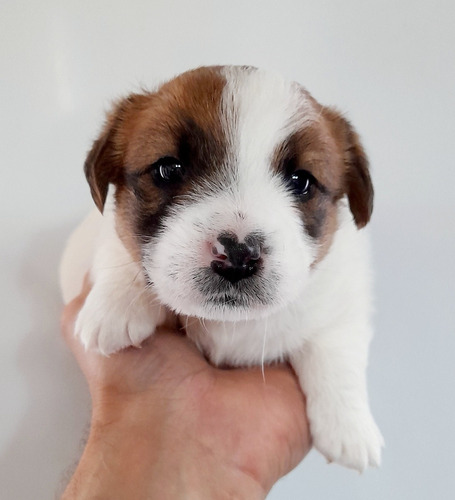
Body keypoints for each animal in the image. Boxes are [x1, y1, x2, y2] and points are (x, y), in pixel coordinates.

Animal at [60, 66, 384, 472]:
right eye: (168, 169)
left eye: (302, 181)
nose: (238, 256)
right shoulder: (100, 233)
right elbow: (115, 246)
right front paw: (116, 305)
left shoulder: (346, 294)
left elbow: (337, 346)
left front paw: (349, 429)